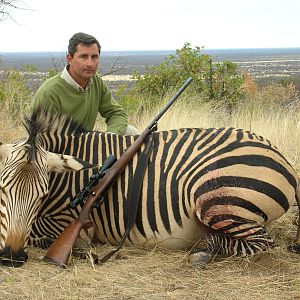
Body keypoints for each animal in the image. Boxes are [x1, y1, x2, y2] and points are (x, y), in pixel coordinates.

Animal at [0, 108, 300, 268]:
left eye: (41, 195)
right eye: (3, 190)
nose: (12, 257)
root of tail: (278, 153)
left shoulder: (69, 221)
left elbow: (42, 233)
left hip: (213, 197)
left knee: (262, 242)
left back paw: (203, 252)